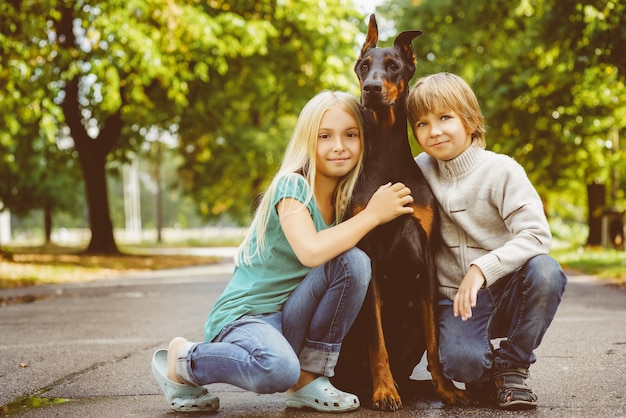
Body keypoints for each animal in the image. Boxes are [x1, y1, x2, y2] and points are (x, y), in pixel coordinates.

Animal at [332, 13, 468, 412]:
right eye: (364, 65)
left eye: (393, 65)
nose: (371, 88)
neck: (388, 159)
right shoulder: (370, 254)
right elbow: (377, 340)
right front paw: (385, 392)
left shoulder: (426, 257)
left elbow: (436, 341)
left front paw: (447, 389)